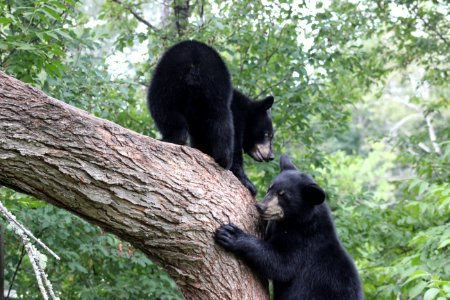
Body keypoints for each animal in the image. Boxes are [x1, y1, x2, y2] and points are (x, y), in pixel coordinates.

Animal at [148, 39, 274, 196]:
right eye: (267, 134)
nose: (271, 156)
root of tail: (194, 63)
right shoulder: (237, 116)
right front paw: (247, 182)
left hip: (169, 83)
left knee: (165, 111)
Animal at [214, 155, 362, 300]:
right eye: (270, 188)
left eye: (283, 195)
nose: (260, 206)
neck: (297, 221)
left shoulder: (304, 243)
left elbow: (281, 264)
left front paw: (231, 234)